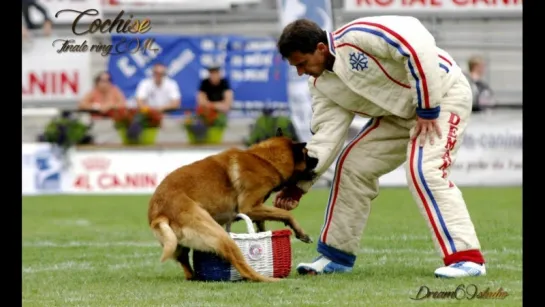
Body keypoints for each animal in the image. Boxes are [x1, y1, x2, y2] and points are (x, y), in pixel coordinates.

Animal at [148, 128, 318, 284]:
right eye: (307, 154)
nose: (317, 159)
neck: (264, 160)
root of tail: (158, 213)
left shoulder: (257, 207)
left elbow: (263, 221)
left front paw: (262, 233)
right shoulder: (249, 207)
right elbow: (287, 214)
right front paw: (301, 233)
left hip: (183, 245)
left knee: (187, 267)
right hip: (221, 236)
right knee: (245, 270)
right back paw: (270, 279)